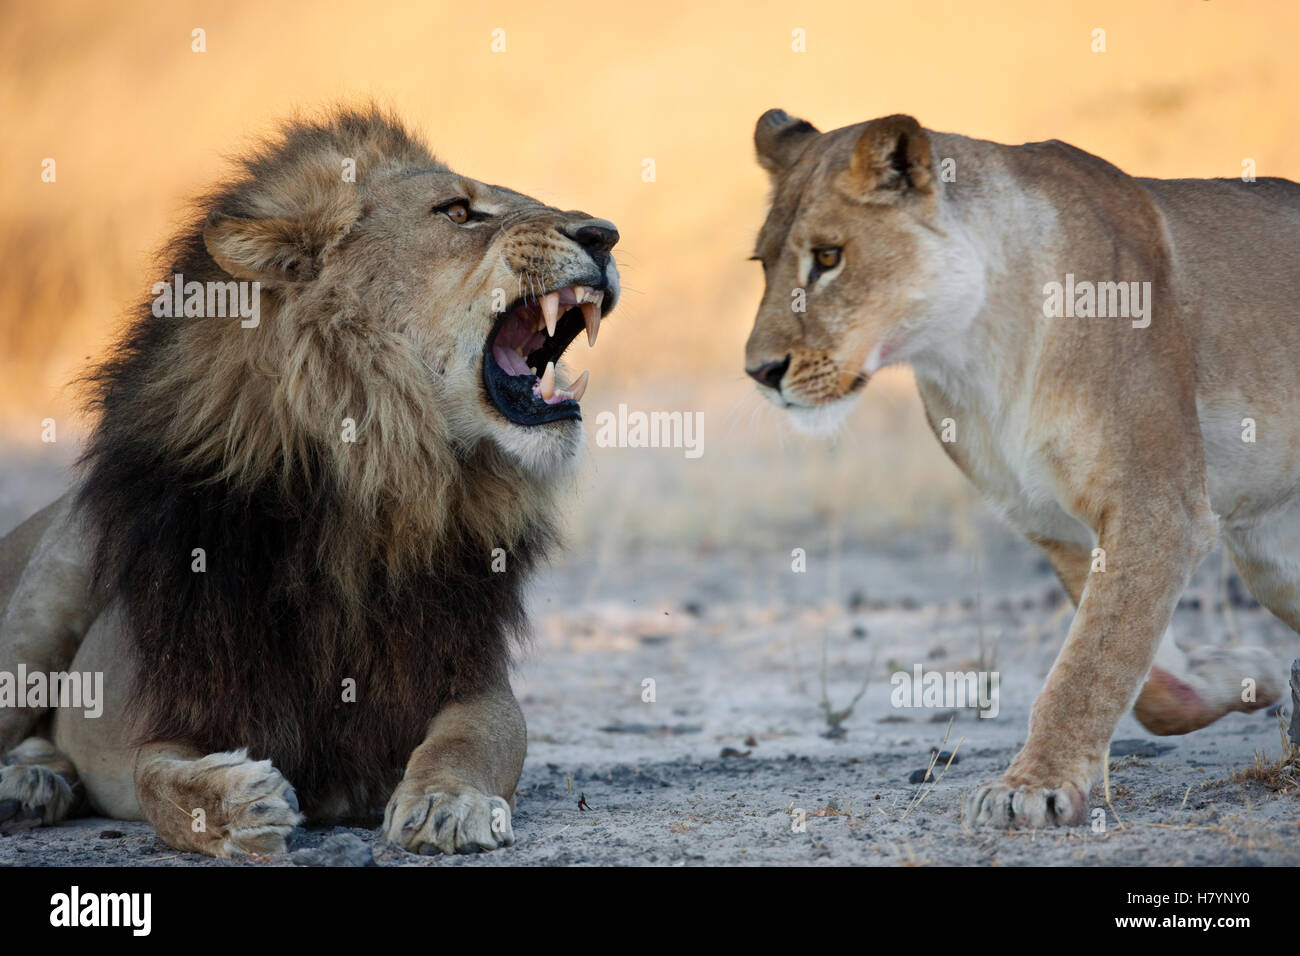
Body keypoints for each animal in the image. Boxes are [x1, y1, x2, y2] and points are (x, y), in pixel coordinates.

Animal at [0, 105, 621, 856]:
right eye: (456, 211)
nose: (605, 234)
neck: (376, 483)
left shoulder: (465, 671)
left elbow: (478, 736)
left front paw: (447, 804)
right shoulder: (182, 703)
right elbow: (158, 785)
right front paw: (238, 805)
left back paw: (42, 782)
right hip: (44, 598)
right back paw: (26, 785)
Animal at [744, 108, 1299, 828]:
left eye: (830, 258)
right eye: (762, 263)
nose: (759, 372)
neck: (972, 350)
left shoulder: (1160, 508)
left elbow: (1089, 661)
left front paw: (1033, 787)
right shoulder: (1053, 524)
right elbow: (1137, 674)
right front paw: (1241, 673)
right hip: (1271, 560)